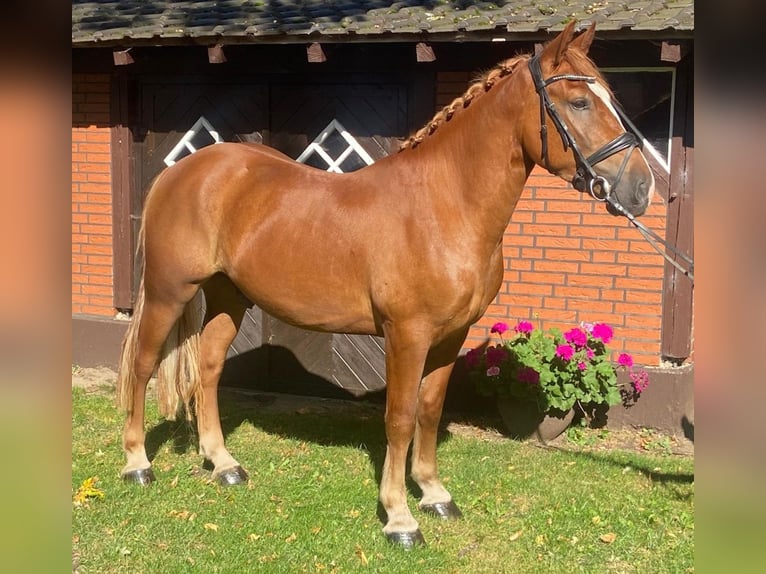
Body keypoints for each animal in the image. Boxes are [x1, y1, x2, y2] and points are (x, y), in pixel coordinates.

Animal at [117, 23, 656, 548]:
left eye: (609, 96)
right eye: (579, 102)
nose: (640, 188)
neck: (444, 206)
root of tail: (181, 172)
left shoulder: (451, 336)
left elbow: (430, 410)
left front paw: (434, 494)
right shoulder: (407, 335)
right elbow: (399, 416)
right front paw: (399, 517)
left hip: (230, 296)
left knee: (208, 368)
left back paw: (223, 464)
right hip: (168, 292)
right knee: (143, 365)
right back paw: (137, 463)